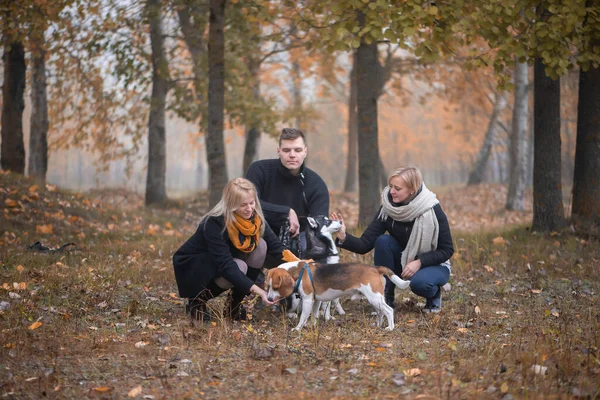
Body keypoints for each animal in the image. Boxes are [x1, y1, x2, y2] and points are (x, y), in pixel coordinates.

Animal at [268, 260, 412, 330]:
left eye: (275, 287)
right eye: (267, 287)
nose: (269, 299)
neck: (299, 272)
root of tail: (376, 268)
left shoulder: (308, 300)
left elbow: (303, 317)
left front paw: (298, 329)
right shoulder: (316, 301)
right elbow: (314, 315)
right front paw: (312, 326)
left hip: (375, 298)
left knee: (389, 310)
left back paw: (390, 328)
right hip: (375, 299)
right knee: (381, 313)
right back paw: (378, 325)